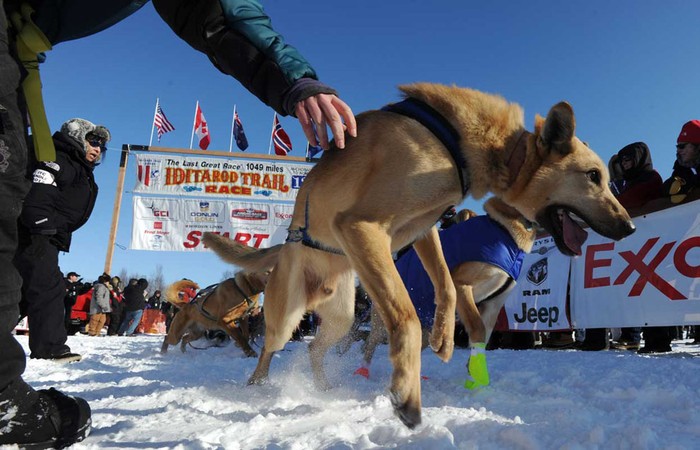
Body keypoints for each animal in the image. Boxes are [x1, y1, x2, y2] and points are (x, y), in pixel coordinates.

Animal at [201, 84, 636, 428]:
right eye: (594, 176)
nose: (630, 227)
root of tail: (289, 244)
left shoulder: (425, 230)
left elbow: (445, 285)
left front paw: (443, 338)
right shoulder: (362, 228)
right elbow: (407, 318)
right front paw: (407, 393)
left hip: (341, 318)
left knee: (312, 348)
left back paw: (323, 387)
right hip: (286, 317)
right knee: (269, 350)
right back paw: (257, 386)